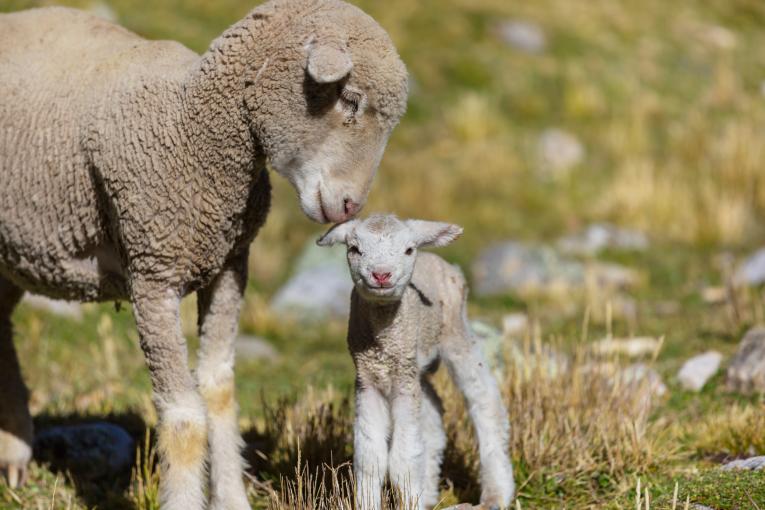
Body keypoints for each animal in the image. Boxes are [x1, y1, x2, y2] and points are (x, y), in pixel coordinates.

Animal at [0, 1, 408, 508]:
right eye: (350, 99)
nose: (352, 205)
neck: (193, 127)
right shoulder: (152, 273)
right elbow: (183, 415)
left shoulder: (229, 266)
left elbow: (218, 393)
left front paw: (232, 498)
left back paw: (12, 447)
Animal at [316, 215, 512, 510]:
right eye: (354, 249)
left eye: (408, 250)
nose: (381, 275)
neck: (384, 343)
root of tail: (440, 260)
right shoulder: (368, 379)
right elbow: (370, 458)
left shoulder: (402, 381)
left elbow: (403, 460)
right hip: (416, 366)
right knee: (433, 414)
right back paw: (428, 493)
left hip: (455, 333)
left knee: (485, 400)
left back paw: (496, 494)